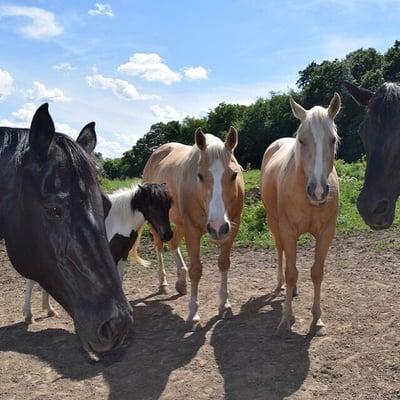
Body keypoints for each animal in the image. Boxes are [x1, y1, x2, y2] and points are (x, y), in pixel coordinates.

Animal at [22, 183, 172, 324]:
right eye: (153, 205)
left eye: (169, 205)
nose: (167, 235)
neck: (119, 219)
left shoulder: (122, 256)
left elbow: (119, 279)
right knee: (31, 281)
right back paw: (29, 315)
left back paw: (49, 310)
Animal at [144, 128, 244, 332]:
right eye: (200, 176)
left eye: (233, 174)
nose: (217, 227)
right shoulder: (192, 230)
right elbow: (196, 270)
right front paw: (193, 315)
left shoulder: (232, 227)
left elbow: (224, 263)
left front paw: (225, 305)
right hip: (158, 222)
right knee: (159, 247)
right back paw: (163, 283)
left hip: (180, 224)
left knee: (173, 243)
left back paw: (180, 282)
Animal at [262, 94, 340, 338]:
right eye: (302, 140)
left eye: (332, 140)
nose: (318, 191)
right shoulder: (288, 230)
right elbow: (291, 272)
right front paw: (286, 319)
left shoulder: (326, 233)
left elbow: (316, 273)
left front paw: (318, 320)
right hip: (274, 224)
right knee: (281, 254)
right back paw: (280, 286)